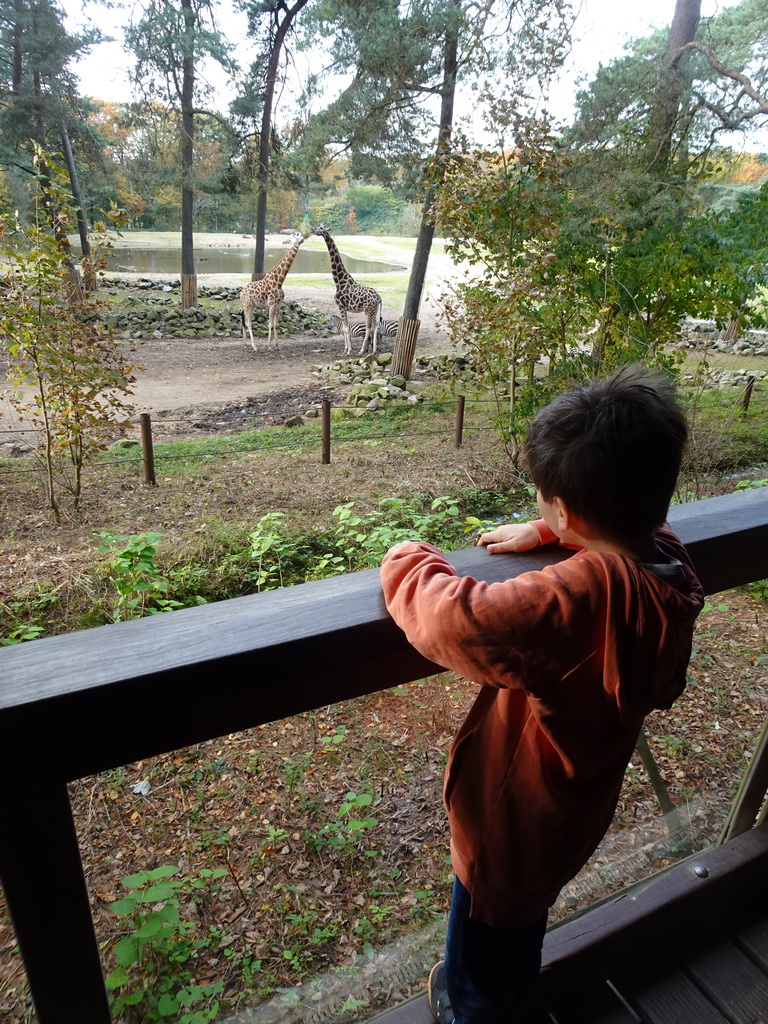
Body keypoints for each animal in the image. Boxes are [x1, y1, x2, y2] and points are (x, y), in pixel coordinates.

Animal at [313, 222, 382, 354]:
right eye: (318, 226)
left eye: (321, 228)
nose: (312, 229)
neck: (339, 281)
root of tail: (379, 298)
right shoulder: (344, 308)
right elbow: (346, 327)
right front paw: (346, 349)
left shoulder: (341, 306)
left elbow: (345, 328)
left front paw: (348, 350)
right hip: (374, 310)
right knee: (375, 327)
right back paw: (374, 350)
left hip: (367, 310)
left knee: (369, 328)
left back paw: (361, 350)